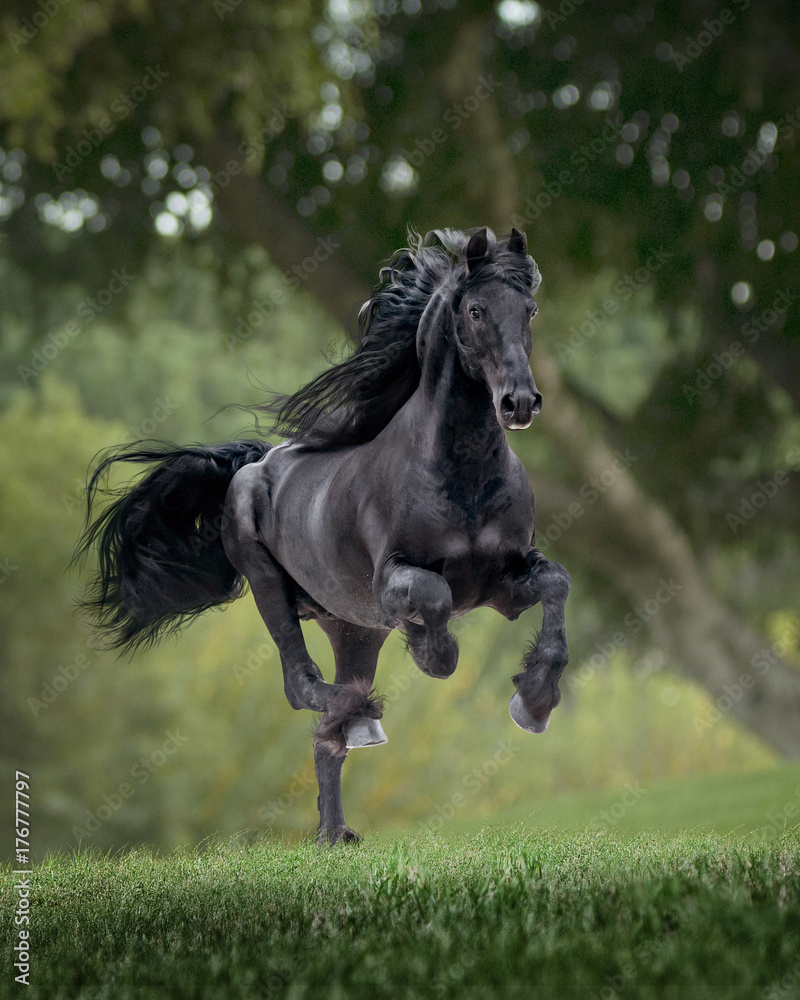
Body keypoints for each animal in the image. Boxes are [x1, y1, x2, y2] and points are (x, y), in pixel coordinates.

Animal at [75, 226, 571, 845]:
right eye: (476, 310)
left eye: (530, 310)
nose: (520, 402)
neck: (463, 475)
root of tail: (252, 466)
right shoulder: (394, 580)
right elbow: (434, 599)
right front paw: (433, 652)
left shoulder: (504, 582)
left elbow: (557, 584)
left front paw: (534, 702)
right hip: (272, 590)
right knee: (302, 684)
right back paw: (359, 717)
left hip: (353, 630)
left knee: (324, 739)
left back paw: (336, 825)